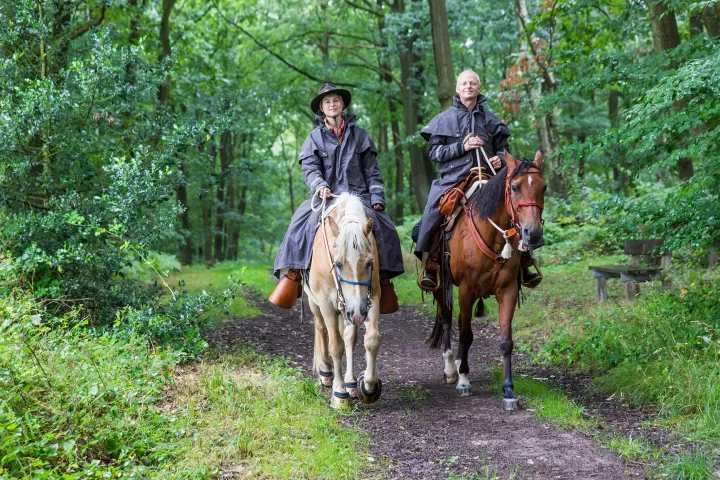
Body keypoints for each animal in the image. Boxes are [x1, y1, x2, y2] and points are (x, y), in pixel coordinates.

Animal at [304, 192, 382, 408]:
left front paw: (368, 387)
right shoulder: (327, 304)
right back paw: (326, 373)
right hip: (318, 304)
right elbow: (335, 346)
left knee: (348, 336)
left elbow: (371, 339)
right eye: (338, 263)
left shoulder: (371, 299)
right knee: (321, 328)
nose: (357, 313)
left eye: (370, 262)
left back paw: (351, 383)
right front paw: (339, 395)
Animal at [428, 151, 544, 408]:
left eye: (543, 186)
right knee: (446, 319)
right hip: (441, 285)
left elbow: (506, 340)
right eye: (514, 187)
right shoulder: (466, 290)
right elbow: (466, 334)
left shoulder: (508, 290)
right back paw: (450, 368)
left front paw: (509, 390)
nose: (533, 234)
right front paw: (463, 380)